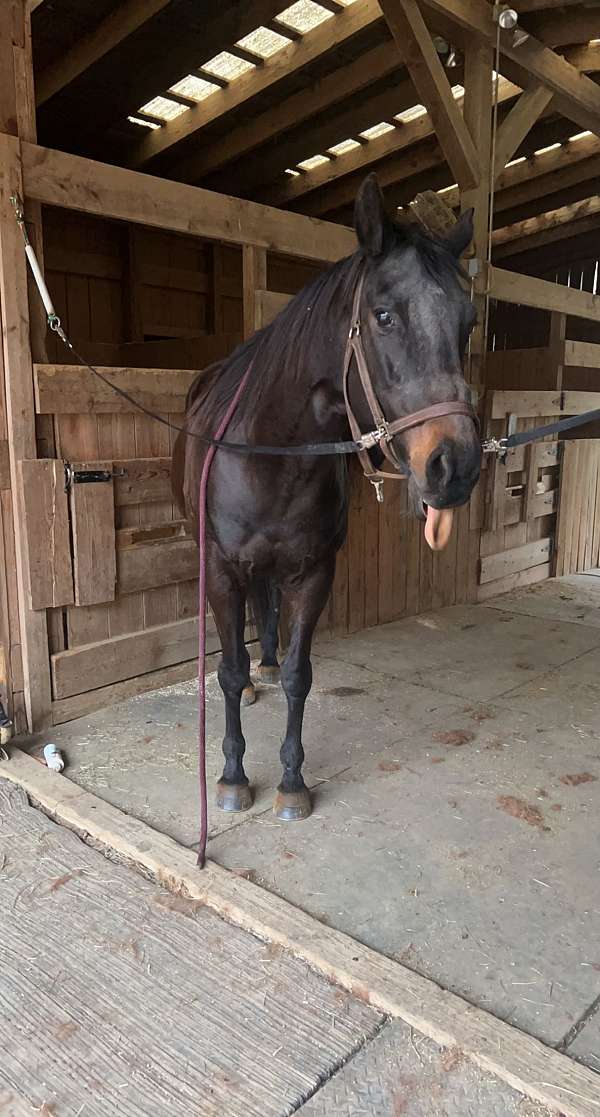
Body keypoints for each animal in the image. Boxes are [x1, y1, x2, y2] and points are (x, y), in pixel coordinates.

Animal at [170, 174, 480, 822]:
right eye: (384, 316)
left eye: (467, 321)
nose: (455, 465)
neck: (270, 452)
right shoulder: (223, 571)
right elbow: (228, 672)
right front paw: (232, 777)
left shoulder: (314, 572)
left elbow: (298, 675)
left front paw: (292, 782)